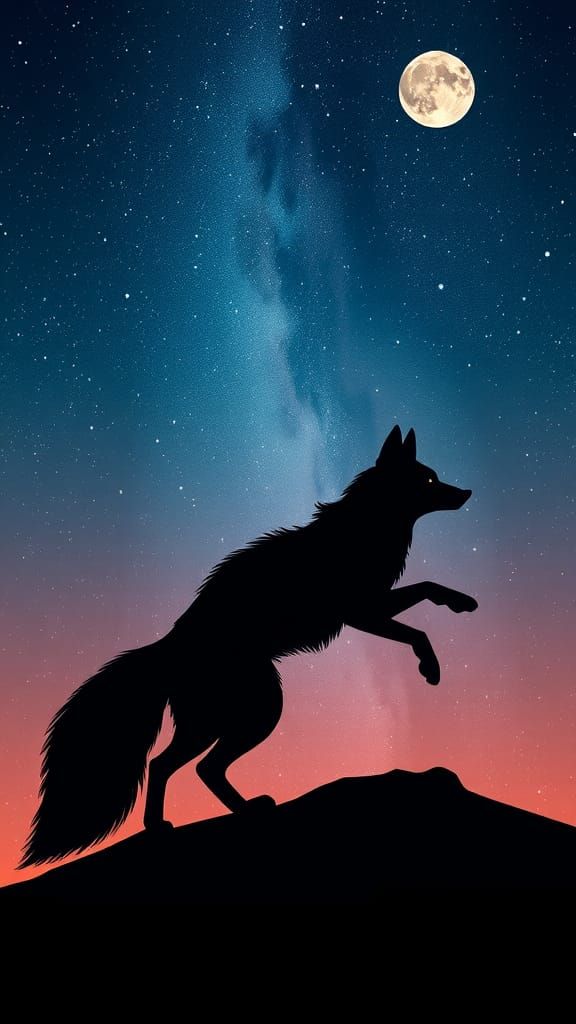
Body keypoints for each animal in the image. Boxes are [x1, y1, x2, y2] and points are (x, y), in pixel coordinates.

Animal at [20, 425, 477, 866]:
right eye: (429, 479)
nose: (468, 493)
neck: (366, 526)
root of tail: (167, 646)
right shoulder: (362, 613)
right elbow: (418, 626)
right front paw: (431, 666)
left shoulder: (373, 605)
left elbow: (429, 587)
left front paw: (461, 603)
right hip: (253, 713)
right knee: (187, 766)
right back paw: (215, 816)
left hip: (229, 719)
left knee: (181, 766)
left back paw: (196, 819)